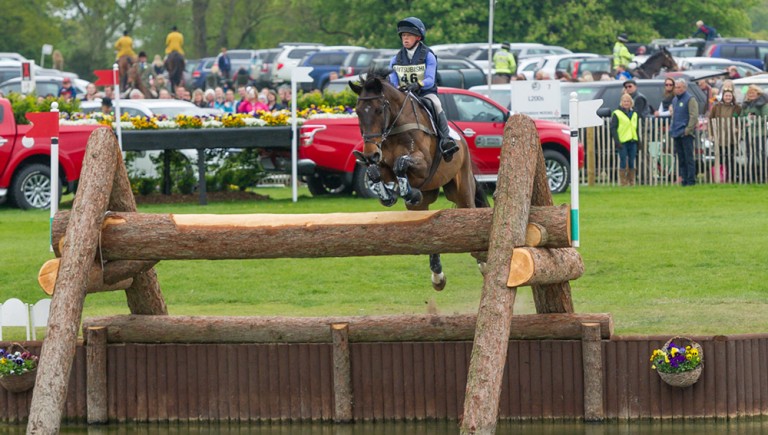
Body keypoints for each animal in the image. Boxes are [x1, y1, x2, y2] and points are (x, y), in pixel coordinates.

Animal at [348, 70, 486, 292]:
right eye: (359, 112)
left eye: (379, 110)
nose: (369, 154)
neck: (395, 129)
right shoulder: (384, 165)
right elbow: (376, 173)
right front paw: (388, 194)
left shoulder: (423, 166)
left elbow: (401, 164)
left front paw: (403, 189)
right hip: (424, 200)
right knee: (425, 226)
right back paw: (437, 276)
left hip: (461, 188)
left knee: (470, 210)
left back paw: (482, 263)